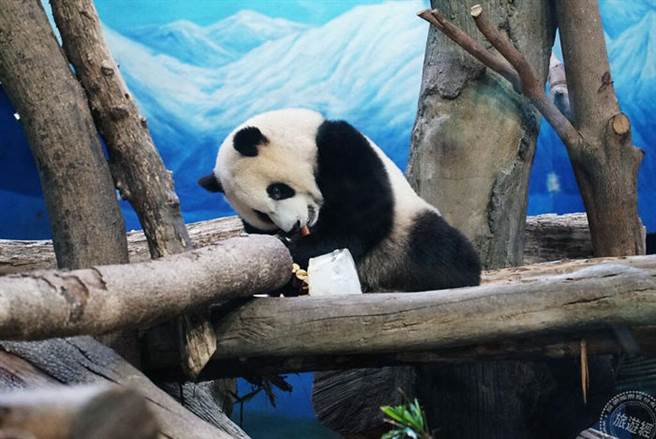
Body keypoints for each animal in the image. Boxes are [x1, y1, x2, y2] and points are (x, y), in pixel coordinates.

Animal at [197, 108, 480, 292]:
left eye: (277, 190)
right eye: (262, 215)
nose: (293, 226)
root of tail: (374, 276)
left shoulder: (339, 145)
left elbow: (361, 216)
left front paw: (297, 249)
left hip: (405, 229)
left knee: (440, 249)